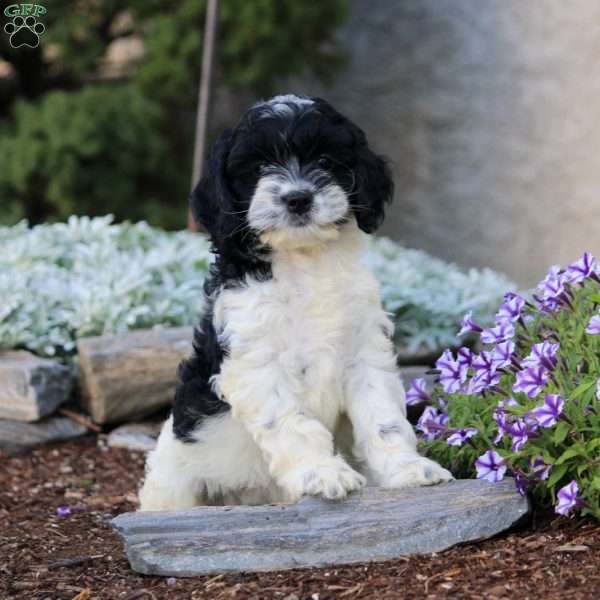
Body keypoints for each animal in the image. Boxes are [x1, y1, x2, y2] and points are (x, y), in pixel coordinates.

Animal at [139, 95, 450, 510]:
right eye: (258, 167)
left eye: (325, 160)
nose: (298, 198)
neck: (306, 263)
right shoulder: (258, 361)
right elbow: (293, 422)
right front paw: (324, 473)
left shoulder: (365, 351)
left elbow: (383, 417)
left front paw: (408, 469)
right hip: (175, 481)